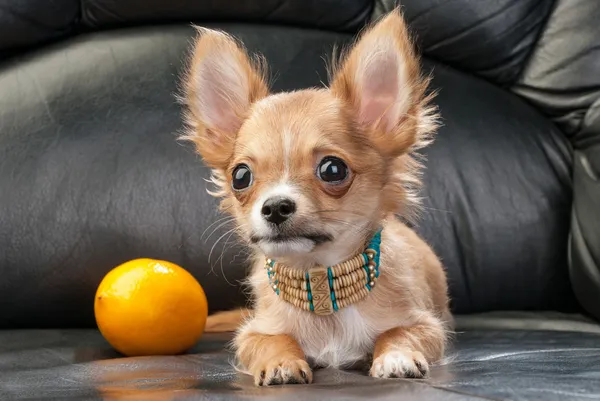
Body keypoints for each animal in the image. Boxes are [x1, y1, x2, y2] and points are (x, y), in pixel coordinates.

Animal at [182, 8, 450, 384]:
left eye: (333, 170)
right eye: (240, 176)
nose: (275, 207)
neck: (319, 275)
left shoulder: (428, 325)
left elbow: (398, 331)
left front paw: (395, 356)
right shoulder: (253, 332)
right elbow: (272, 339)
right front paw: (281, 362)